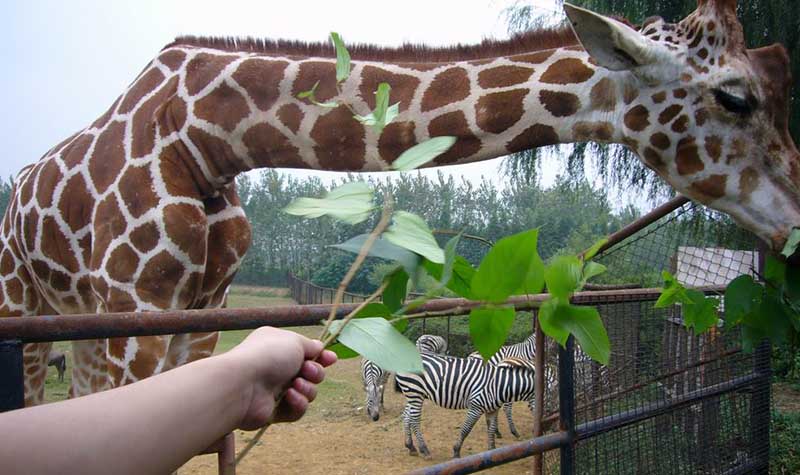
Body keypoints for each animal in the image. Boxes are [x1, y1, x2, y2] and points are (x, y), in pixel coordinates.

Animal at [3, 0, 796, 406]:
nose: (792, 219)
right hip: (27, 306)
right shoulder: (136, 305)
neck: (204, 135)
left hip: (80, 319)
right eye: (736, 96)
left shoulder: (202, 310)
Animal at [396, 356, 536, 460]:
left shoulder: (492, 409)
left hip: (414, 394)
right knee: (414, 420)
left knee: (406, 416)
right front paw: (456, 451)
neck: (500, 385)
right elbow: (466, 430)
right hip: (415, 392)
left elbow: (491, 429)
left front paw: (492, 451)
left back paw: (411, 447)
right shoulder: (476, 406)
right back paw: (424, 450)